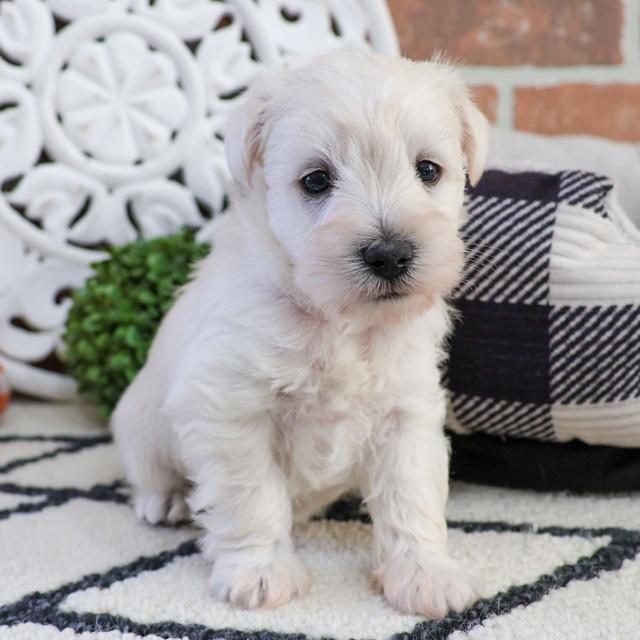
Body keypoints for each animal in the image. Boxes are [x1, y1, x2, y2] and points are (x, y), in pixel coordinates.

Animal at [111, 52, 490, 616]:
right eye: (315, 181)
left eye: (428, 170)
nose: (390, 254)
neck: (340, 320)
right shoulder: (232, 409)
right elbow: (251, 497)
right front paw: (261, 574)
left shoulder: (407, 412)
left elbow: (411, 495)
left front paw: (425, 576)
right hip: (140, 425)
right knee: (149, 473)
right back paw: (166, 500)